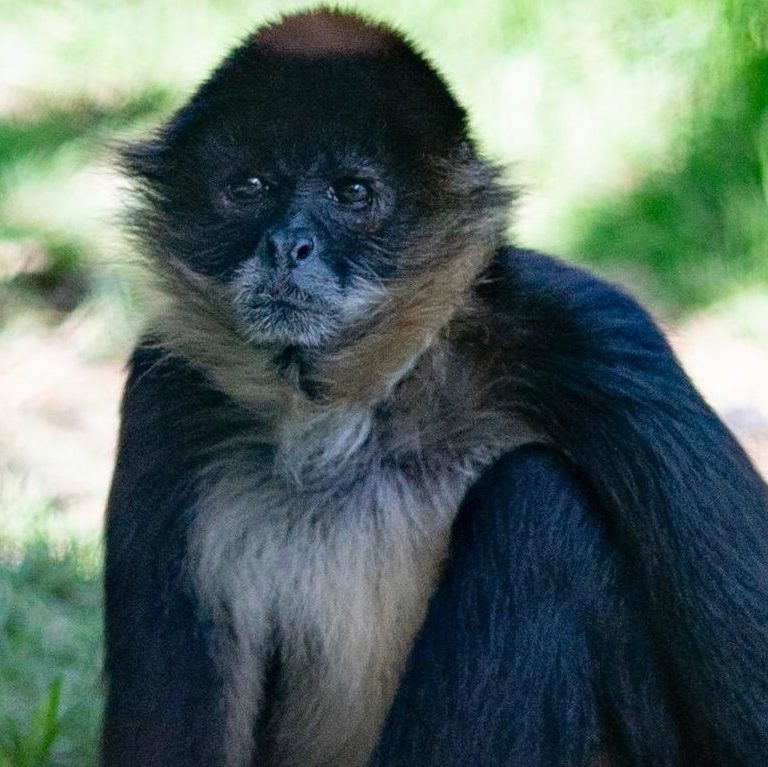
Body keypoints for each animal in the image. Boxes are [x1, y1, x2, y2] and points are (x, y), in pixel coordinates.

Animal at [102, 8, 768, 767]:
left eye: (352, 194)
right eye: (248, 188)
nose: (286, 246)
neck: (354, 415)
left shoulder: (593, 334)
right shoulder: (166, 393)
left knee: (537, 498)